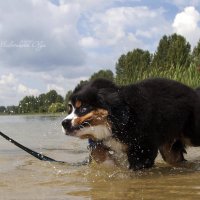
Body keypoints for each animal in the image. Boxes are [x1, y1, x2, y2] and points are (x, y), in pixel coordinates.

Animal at [61, 78, 200, 170]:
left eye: (83, 108)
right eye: (70, 108)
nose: (63, 123)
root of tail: (193, 92)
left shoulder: (143, 147)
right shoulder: (101, 140)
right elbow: (97, 152)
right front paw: (110, 165)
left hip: (191, 135)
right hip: (169, 147)